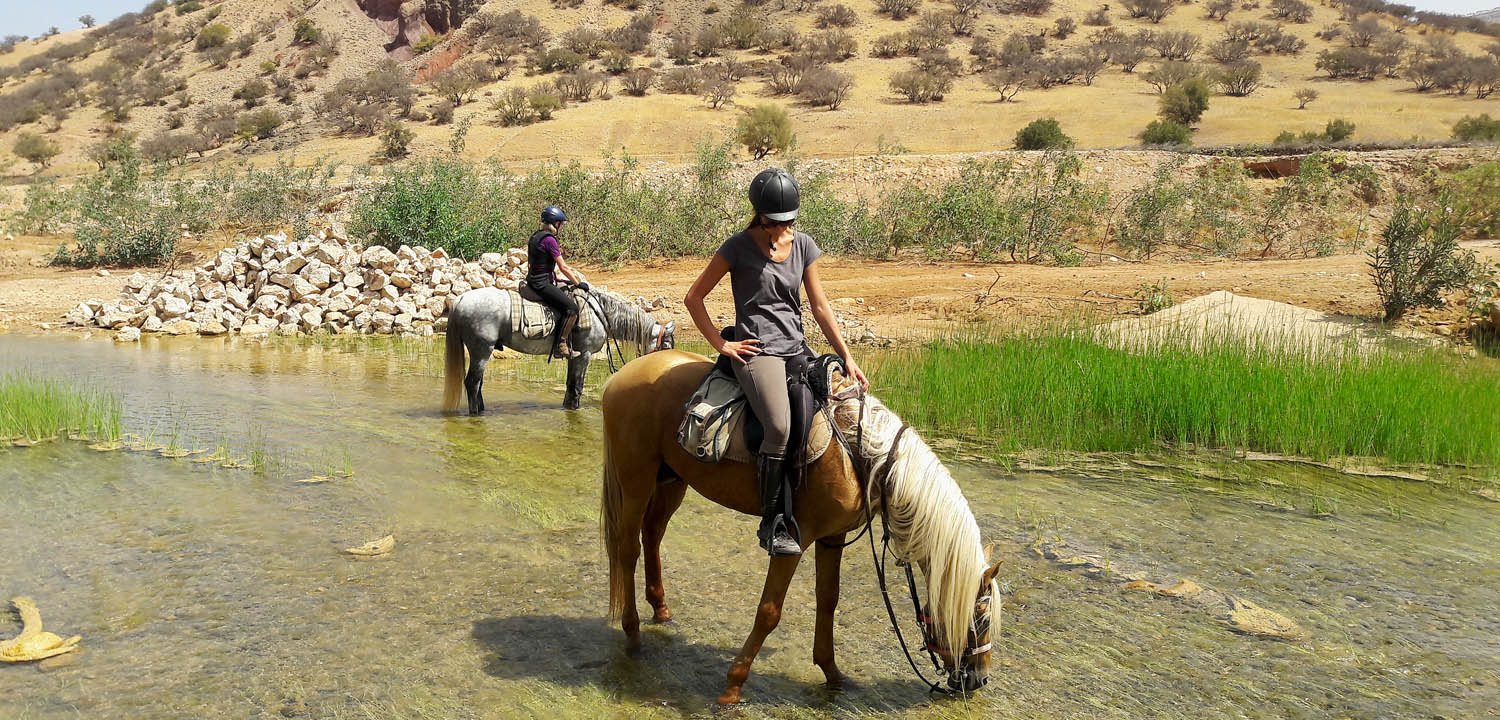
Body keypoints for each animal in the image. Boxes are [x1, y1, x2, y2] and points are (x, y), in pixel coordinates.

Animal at [442, 287, 675, 412]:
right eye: (666, 346)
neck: (601, 314)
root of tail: (461, 299)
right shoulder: (585, 355)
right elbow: (577, 386)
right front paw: (576, 410)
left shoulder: (575, 356)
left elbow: (570, 386)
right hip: (482, 350)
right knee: (472, 383)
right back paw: (476, 414)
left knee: (477, 383)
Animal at [599, 349, 1003, 705]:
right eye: (980, 616)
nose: (979, 679)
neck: (857, 454)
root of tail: (623, 375)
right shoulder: (794, 538)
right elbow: (769, 611)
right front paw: (732, 688)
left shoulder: (832, 537)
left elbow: (828, 599)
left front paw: (833, 673)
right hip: (636, 481)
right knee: (627, 548)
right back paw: (632, 632)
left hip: (672, 480)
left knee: (652, 535)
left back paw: (661, 609)